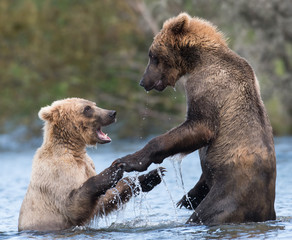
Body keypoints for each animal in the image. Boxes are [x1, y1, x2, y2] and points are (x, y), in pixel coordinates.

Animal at [18, 98, 164, 232]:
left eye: (94, 104)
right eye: (87, 108)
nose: (112, 113)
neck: (74, 150)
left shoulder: (87, 165)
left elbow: (102, 201)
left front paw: (150, 176)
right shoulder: (56, 174)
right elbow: (73, 206)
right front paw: (112, 171)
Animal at [115, 12, 274, 224]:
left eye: (152, 55)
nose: (143, 81)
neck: (198, 61)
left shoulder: (206, 86)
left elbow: (199, 126)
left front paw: (128, 161)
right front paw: (186, 198)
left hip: (228, 197)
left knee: (208, 212)